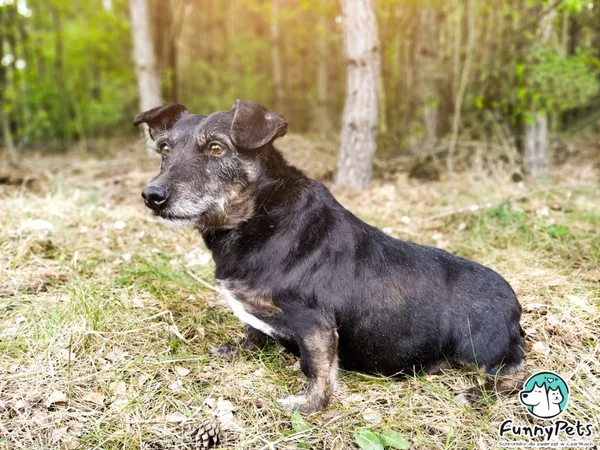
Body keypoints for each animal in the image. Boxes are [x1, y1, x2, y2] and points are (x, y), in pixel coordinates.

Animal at [135, 101, 524, 414]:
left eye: (216, 148)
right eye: (164, 149)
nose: (152, 195)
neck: (258, 216)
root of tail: (514, 305)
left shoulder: (315, 324)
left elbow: (318, 370)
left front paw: (309, 406)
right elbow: (252, 331)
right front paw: (238, 349)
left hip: (480, 349)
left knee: (517, 376)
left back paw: (476, 394)